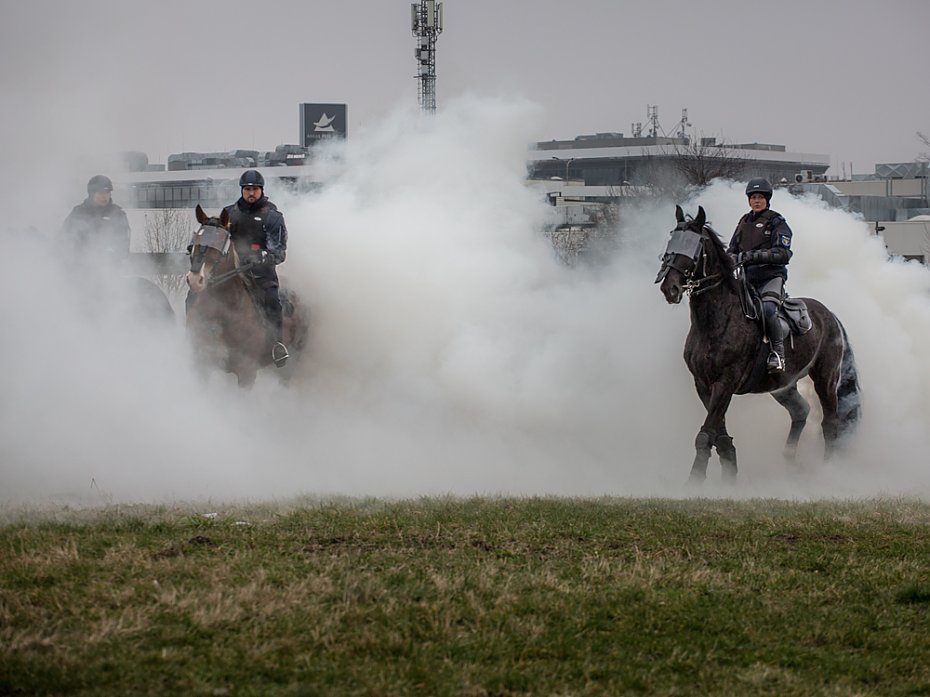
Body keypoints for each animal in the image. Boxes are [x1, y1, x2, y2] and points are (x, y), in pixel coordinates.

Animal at [185, 204, 308, 388]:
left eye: (220, 247)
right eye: (195, 243)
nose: (194, 280)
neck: (222, 313)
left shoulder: (246, 373)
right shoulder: (203, 366)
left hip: (290, 365)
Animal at [652, 204, 864, 482]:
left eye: (696, 245)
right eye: (672, 240)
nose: (670, 288)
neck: (716, 320)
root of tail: (829, 315)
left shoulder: (726, 382)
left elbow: (706, 433)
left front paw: (695, 479)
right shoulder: (703, 384)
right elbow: (718, 433)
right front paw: (730, 472)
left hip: (825, 378)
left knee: (830, 423)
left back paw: (827, 470)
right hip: (784, 385)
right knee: (801, 411)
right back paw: (790, 463)